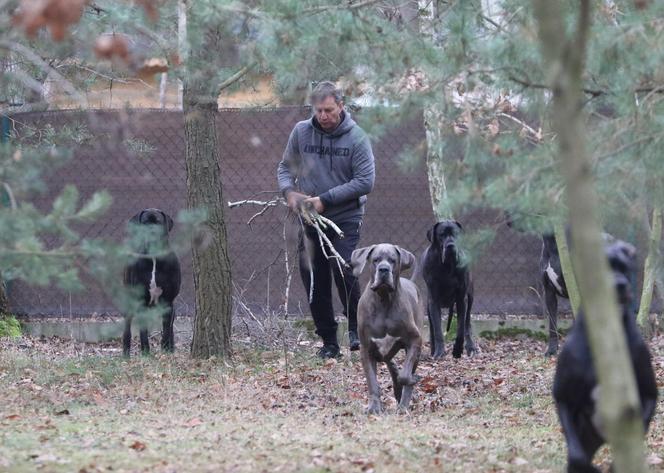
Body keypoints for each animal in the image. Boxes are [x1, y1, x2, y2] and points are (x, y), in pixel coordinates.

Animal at [122, 208, 182, 356]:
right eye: (144, 223)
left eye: (158, 222)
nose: (151, 233)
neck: (154, 256)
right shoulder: (141, 301)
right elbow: (143, 332)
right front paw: (146, 353)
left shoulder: (168, 301)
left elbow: (166, 330)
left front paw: (166, 351)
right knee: (127, 327)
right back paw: (126, 353)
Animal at [350, 243, 422, 412]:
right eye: (375, 259)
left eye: (392, 260)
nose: (383, 269)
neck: (383, 299)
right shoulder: (366, 348)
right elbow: (372, 382)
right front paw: (374, 408)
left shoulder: (415, 340)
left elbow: (405, 375)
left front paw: (410, 380)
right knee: (390, 362)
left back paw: (403, 405)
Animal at [422, 220, 474, 358]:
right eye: (442, 235)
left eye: (455, 233)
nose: (451, 245)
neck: (447, 266)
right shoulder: (433, 301)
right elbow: (437, 330)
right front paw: (439, 352)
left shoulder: (461, 299)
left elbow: (460, 329)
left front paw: (457, 350)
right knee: (432, 328)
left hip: (470, 297)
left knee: (467, 324)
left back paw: (471, 347)